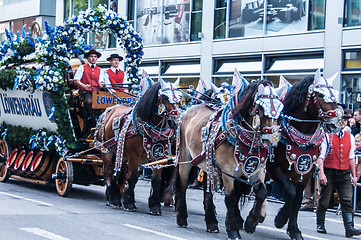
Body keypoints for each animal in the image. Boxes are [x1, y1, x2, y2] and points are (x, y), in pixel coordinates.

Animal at [95, 78, 180, 214]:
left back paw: (112, 197)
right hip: (106, 150)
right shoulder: (133, 157)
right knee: (107, 171)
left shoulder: (158, 157)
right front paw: (129, 203)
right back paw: (114, 199)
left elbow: (156, 180)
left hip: (121, 154)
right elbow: (133, 178)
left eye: (180, 97)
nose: (176, 121)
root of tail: (107, 111)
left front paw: (155, 206)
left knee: (118, 172)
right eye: (165, 97)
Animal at [174, 80, 284, 238]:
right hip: (185, 157)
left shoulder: (257, 168)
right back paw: (182, 216)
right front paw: (233, 230)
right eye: (262, 108)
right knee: (182, 184)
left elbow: (262, 192)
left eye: (280, 109)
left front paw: (251, 223)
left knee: (208, 190)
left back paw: (211, 223)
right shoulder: (228, 172)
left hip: (208, 163)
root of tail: (187, 110)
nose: (272, 138)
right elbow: (231, 198)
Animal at [268, 73, 342, 240]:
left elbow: (296, 201)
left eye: (335, 95)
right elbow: (290, 192)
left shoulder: (305, 173)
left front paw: (294, 230)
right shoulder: (274, 169)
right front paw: (280, 219)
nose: (337, 122)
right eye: (320, 95)